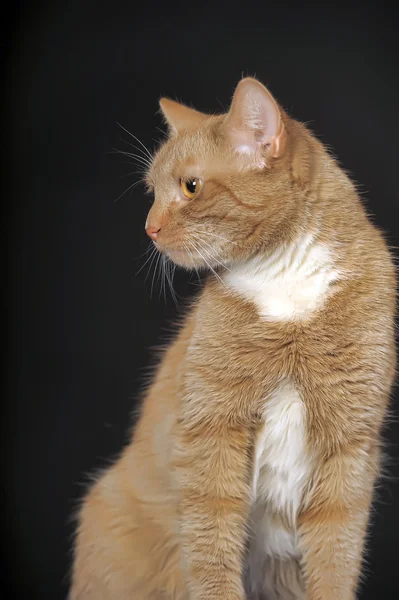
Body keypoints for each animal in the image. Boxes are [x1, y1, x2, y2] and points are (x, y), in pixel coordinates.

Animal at [69, 77, 396, 596]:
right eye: (153, 191)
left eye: (190, 187)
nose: (149, 228)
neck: (287, 283)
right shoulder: (210, 434)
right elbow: (212, 553)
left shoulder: (348, 448)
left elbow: (335, 561)